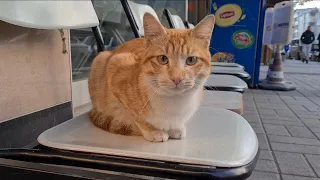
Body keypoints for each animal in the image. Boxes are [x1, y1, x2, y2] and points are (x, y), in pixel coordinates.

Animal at [88, 12, 215, 142]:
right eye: (163, 59)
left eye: (191, 60)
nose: (177, 78)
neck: (173, 103)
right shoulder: (115, 66)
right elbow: (137, 117)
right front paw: (153, 130)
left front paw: (176, 127)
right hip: (100, 59)